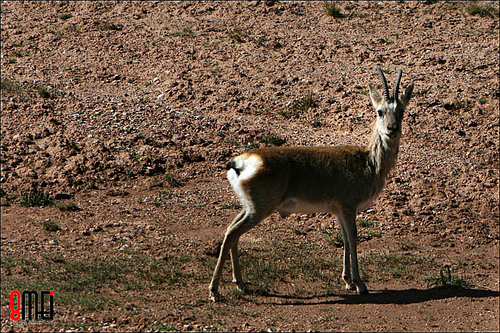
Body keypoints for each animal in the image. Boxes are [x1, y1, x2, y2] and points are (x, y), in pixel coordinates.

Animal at [208, 68, 414, 300]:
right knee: (232, 233)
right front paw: (360, 284)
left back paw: (240, 284)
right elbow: (353, 238)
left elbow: (344, 238)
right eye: (380, 111)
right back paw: (215, 291)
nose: (392, 129)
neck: (367, 162)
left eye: (401, 111)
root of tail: (238, 162)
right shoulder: (348, 207)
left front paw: (347, 281)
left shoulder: (338, 211)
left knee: (231, 230)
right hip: (259, 210)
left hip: (249, 207)